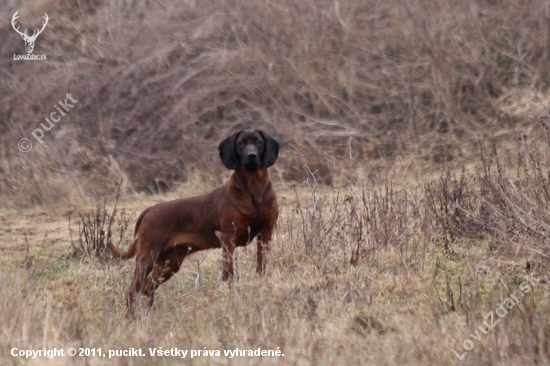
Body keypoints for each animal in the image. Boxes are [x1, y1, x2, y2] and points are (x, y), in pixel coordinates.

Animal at [108, 130, 280, 316]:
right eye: (241, 143)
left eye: (258, 142)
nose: (251, 156)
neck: (253, 188)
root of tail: (150, 209)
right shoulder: (228, 237)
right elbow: (228, 272)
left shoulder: (266, 233)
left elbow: (261, 266)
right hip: (147, 257)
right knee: (132, 290)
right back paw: (130, 317)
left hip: (170, 263)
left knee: (147, 289)